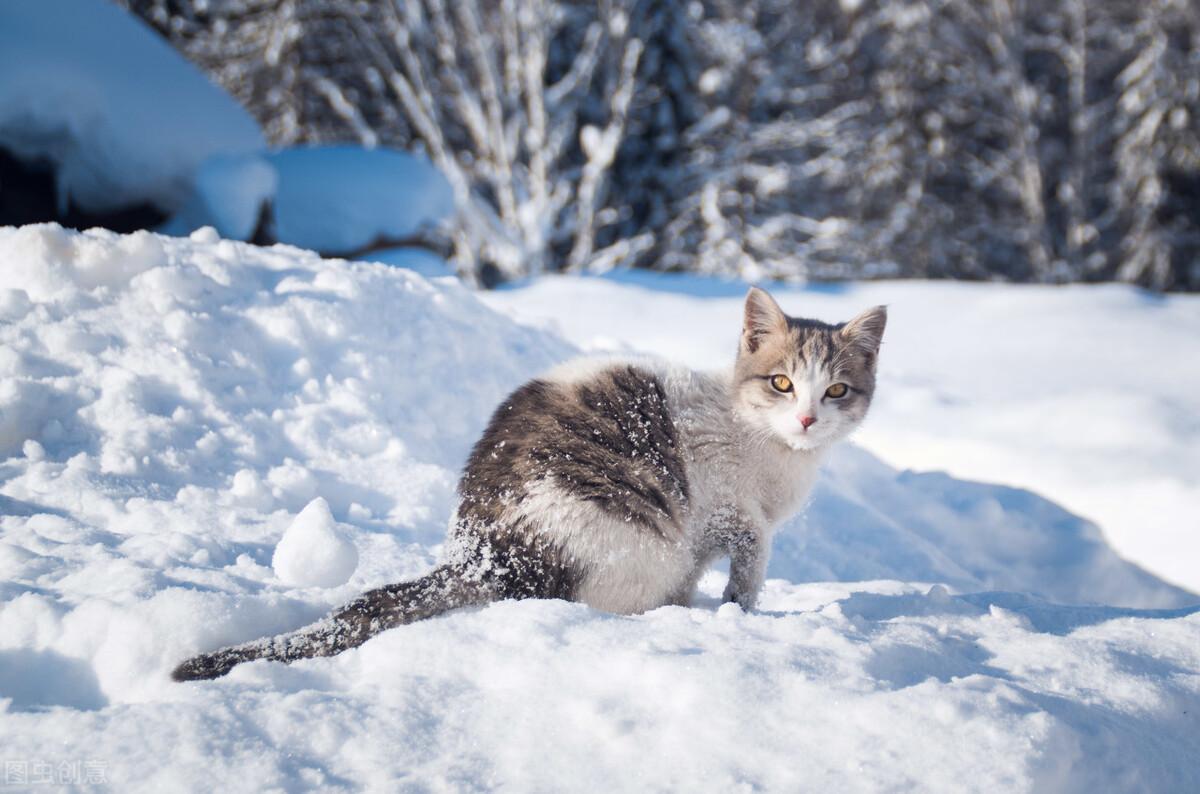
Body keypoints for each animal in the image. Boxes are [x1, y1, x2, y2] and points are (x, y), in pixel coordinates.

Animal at [171, 289, 883, 681]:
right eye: (782, 383)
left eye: (837, 390)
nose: (808, 417)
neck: (770, 445)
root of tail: (480, 551)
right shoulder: (722, 500)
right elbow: (754, 550)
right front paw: (739, 605)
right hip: (638, 540)